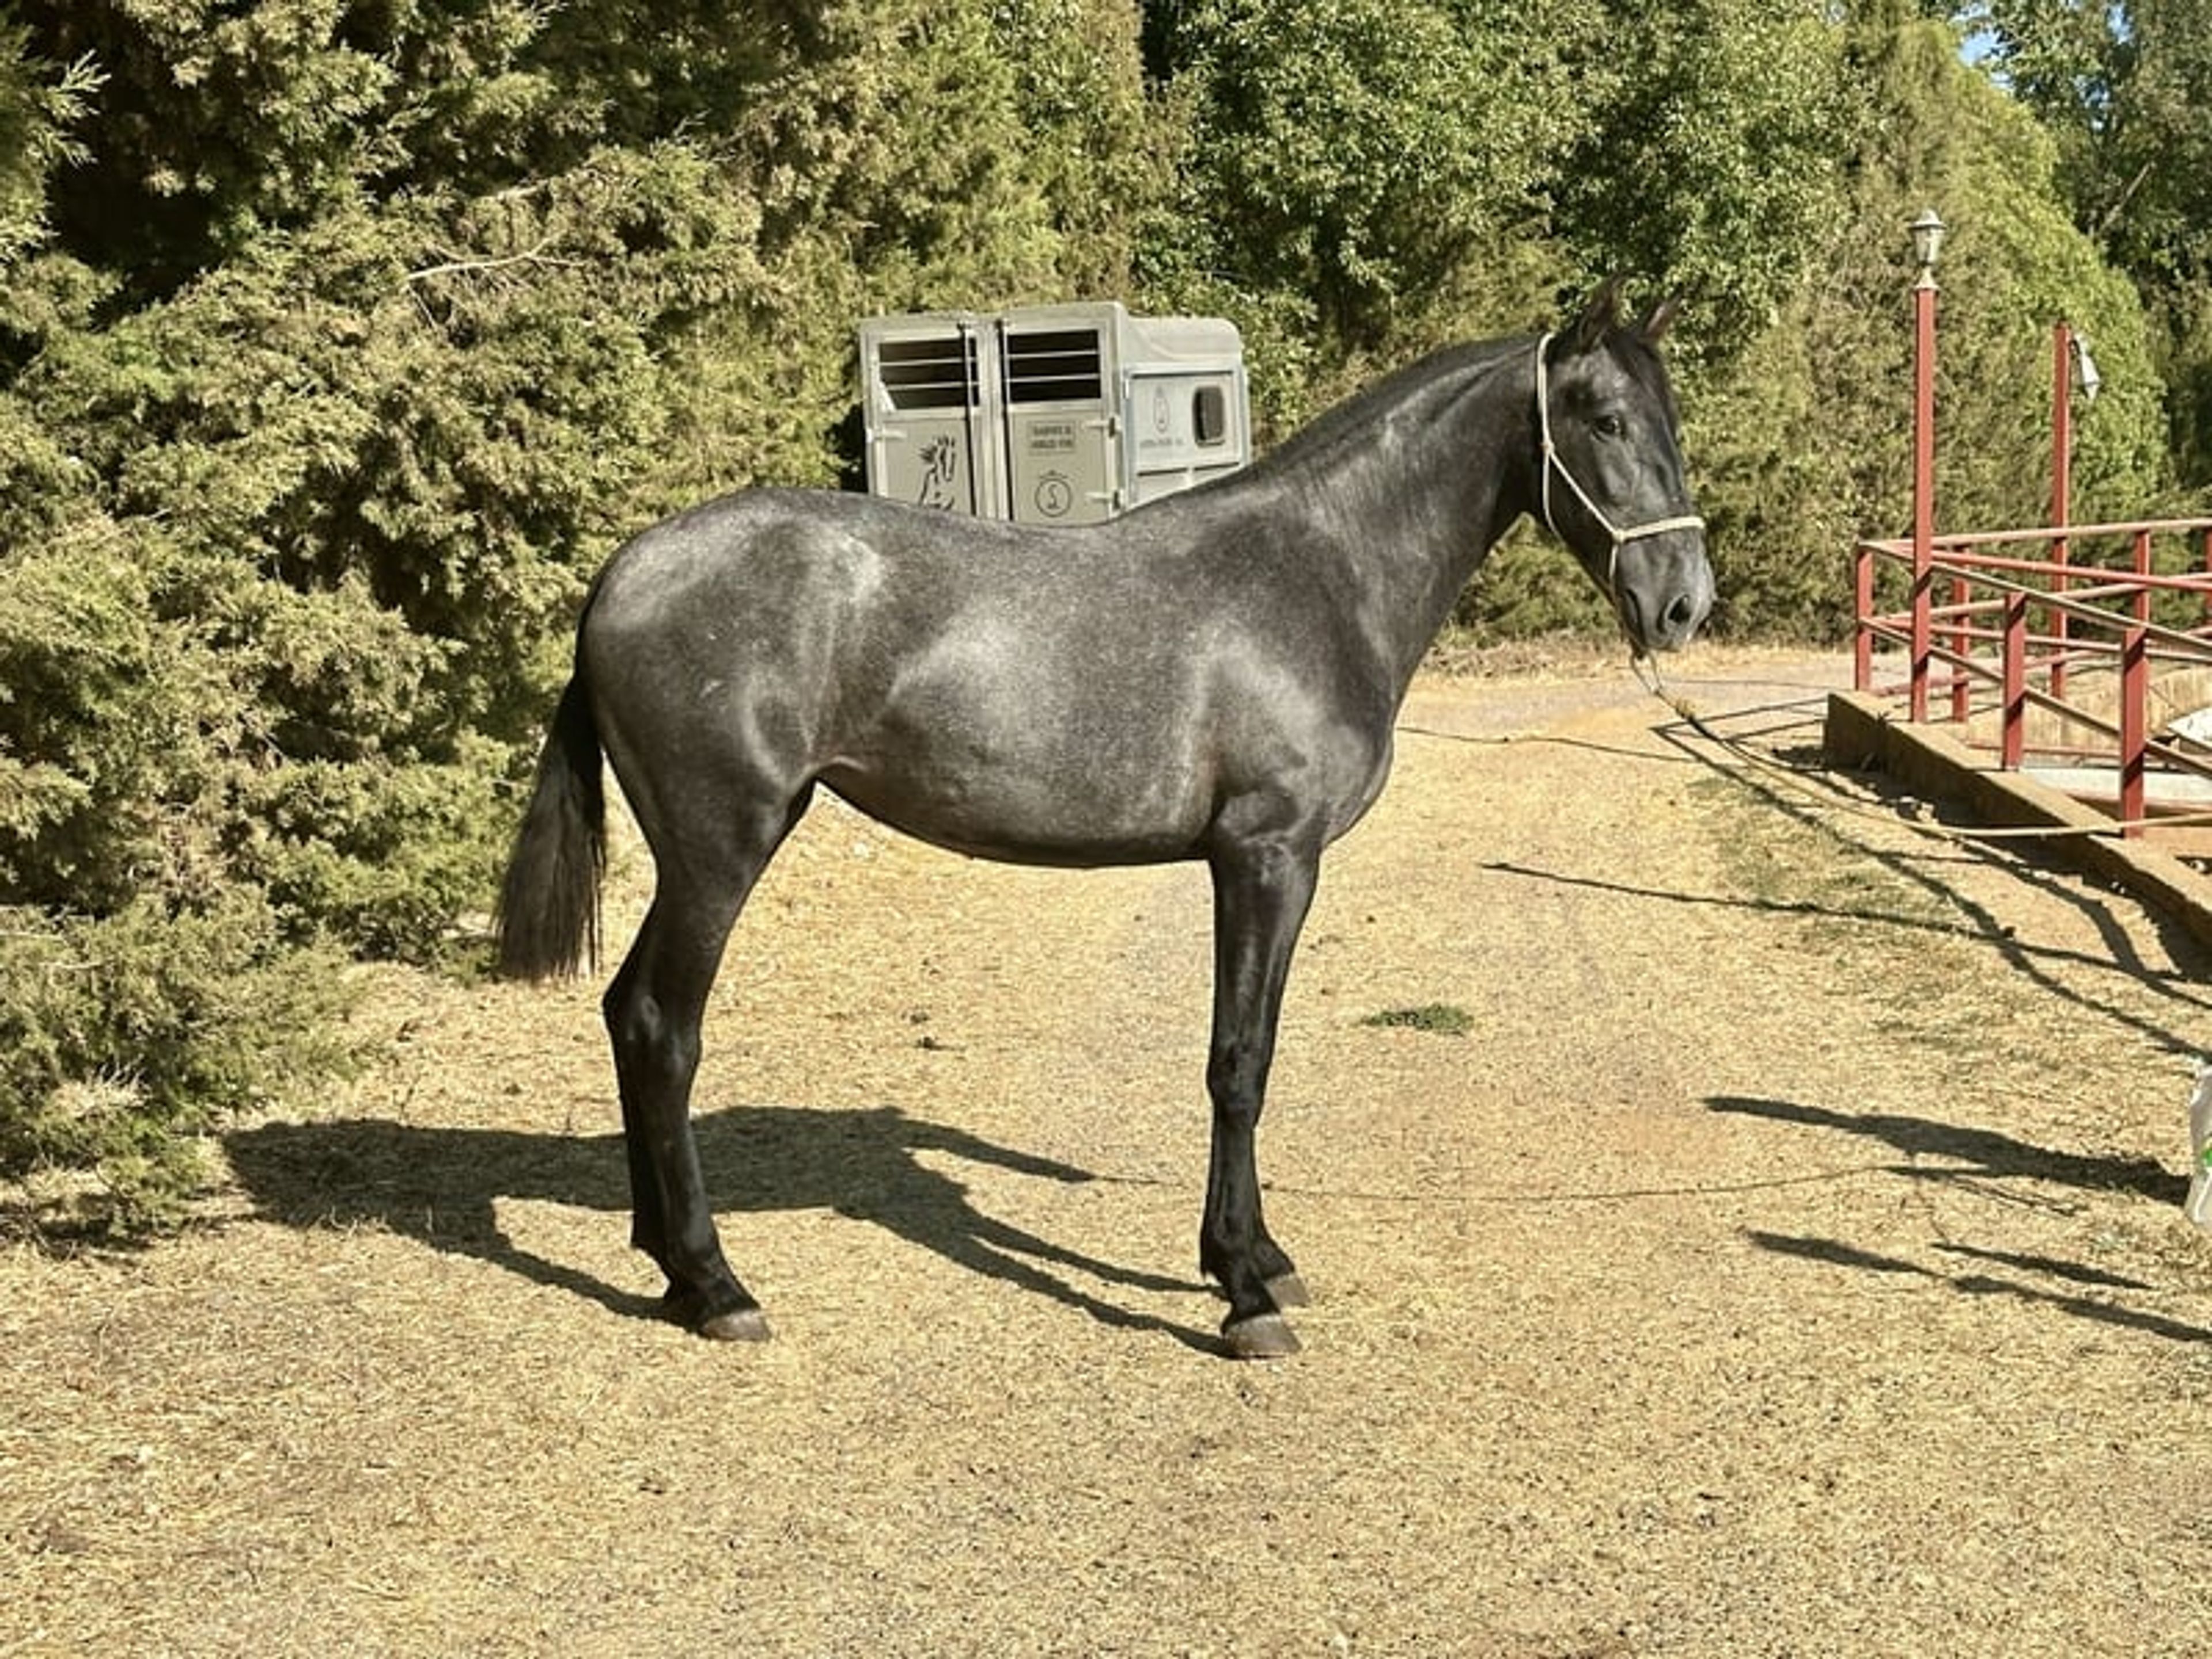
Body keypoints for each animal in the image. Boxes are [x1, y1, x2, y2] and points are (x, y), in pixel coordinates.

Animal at [494, 282, 1713, 1358]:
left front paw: (1258, 1260)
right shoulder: (1266, 858)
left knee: (625, 1013)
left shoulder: (1268, 865)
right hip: (720, 849)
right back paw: (717, 1285)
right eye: (1606, 420)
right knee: (665, 1028)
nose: (1684, 604)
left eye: (1668, 419)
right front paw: (1240, 1290)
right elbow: (1240, 1061)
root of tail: (623, 572)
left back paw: (665, 1263)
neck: (1317, 575)